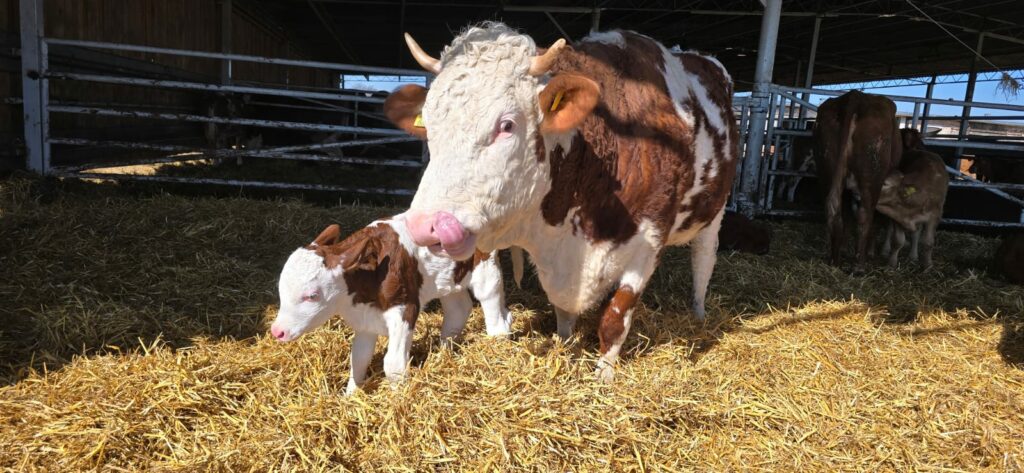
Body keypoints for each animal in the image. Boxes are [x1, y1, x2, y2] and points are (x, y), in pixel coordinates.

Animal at [270, 215, 515, 394]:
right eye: (281, 289)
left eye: (312, 295)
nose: (277, 331)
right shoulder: (366, 319)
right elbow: (358, 359)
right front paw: (350, 396)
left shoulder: (404, 308)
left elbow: (393, 364)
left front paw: (398, 398)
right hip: (448, 278)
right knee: (458, 308)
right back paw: (444, 350)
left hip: (485, 263)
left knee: (491, 298)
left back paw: (497, 342)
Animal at [384, 23, 738, 381]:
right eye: (428, 123)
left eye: (506, 125)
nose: (425, 225)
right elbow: (551, 306)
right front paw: (564, 344)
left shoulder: (648, 243)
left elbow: (615, 318)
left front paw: (603, 376)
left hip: (716, 212)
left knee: (703, 260)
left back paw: (698, 313)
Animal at [813, 90, 902, 267]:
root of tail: (855, 96)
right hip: (871, 177)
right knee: (865, 216)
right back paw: (859, 266)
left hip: (826, 171)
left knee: (837, 214)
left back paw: (835, 261)